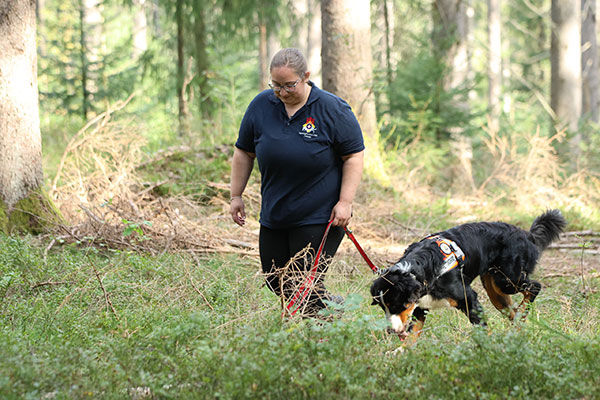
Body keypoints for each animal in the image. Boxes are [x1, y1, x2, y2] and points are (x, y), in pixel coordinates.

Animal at [370, 209, 568, 340]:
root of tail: (527, 234)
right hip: (495, 291)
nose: (390, 331)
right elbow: (411, 335)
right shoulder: (420, 306)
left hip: (506, 280)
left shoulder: (468, 298)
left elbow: (483, 329)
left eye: (396, 305)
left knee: (534, 287)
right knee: (513, 313)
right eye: (382, 307)